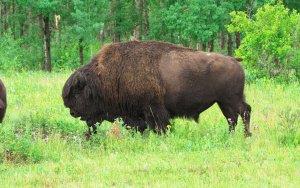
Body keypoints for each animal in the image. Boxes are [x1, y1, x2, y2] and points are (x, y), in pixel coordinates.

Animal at [62, 40, 252, 137]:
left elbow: (161, 125)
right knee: (232, 118)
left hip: (232, 99)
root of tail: (235, 60)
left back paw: (246, 135)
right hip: (223, 101)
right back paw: (231, 135)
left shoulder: (153, 109)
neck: (106, 75)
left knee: (244, 112)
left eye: (77, 91)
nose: (72, 111)